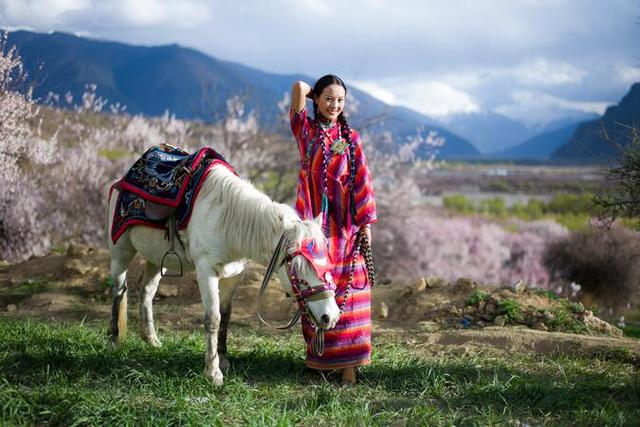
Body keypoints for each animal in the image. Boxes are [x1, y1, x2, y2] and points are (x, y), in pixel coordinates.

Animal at [107, 164, 342, 384]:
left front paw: (223, 359)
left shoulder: (234, 275)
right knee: (118, 289)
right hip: (121, 251)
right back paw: (113, 339)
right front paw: (213, 372)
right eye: (298, 267)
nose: (330, 316)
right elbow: (213, 318)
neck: (228, 222)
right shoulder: (206, 271)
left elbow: (226, 315)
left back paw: (151, 339)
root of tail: (122, 179)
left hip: (157, 258)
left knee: (147, 291)